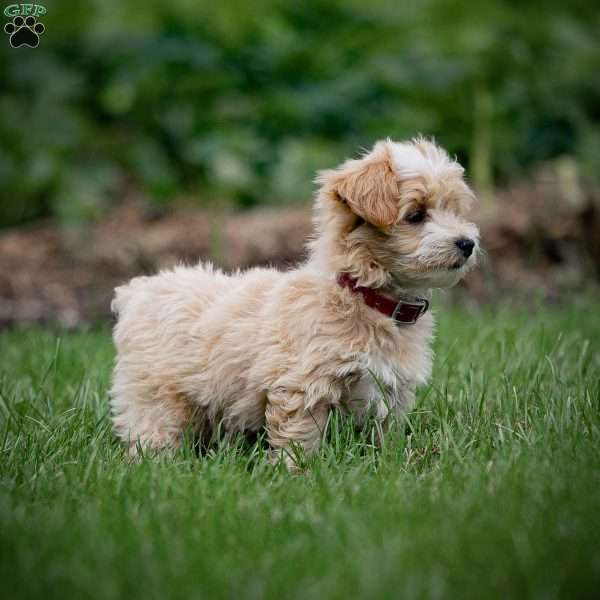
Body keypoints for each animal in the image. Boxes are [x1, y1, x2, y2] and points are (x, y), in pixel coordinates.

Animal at [111, 138, 478, 462]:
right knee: (152, 431)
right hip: (156, 396)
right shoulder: (305, 385)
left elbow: (384, 435)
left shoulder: (392, 392)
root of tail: (140, 290)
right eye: (416, 215)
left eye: (455, 211)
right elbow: (301, 435)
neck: (364, 296)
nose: (467, 243)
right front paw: (296, 471)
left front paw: (387, 462)